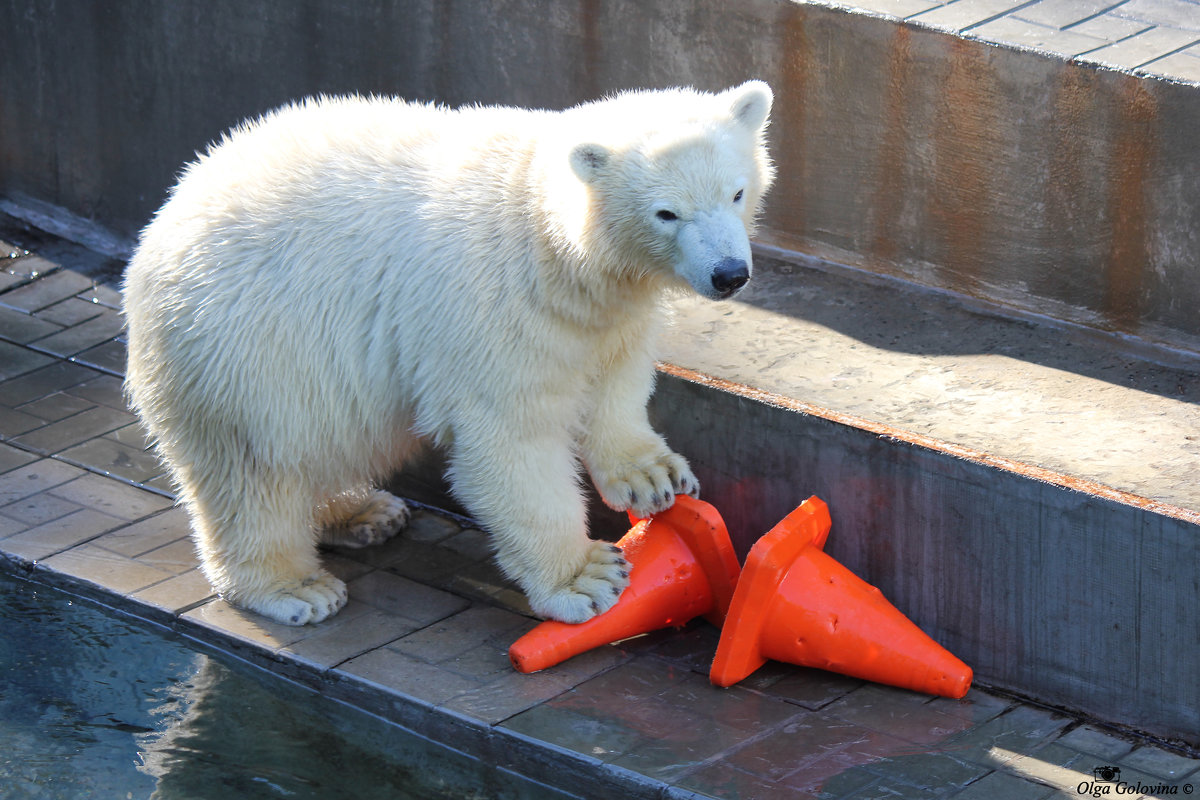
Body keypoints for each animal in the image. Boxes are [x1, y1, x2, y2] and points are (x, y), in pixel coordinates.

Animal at [124, 84, 777, 628]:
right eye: (667, 213)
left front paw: (651, 476)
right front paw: (583, 577)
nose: (729, 274)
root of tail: (165, 214)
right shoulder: (494, 316)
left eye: (737, 191)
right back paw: (295, 587)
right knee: (256, 470)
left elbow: (616, 380)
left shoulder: (608, 315)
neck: (549, 247)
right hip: (245, 347)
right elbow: (510, 442)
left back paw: (362, 513)